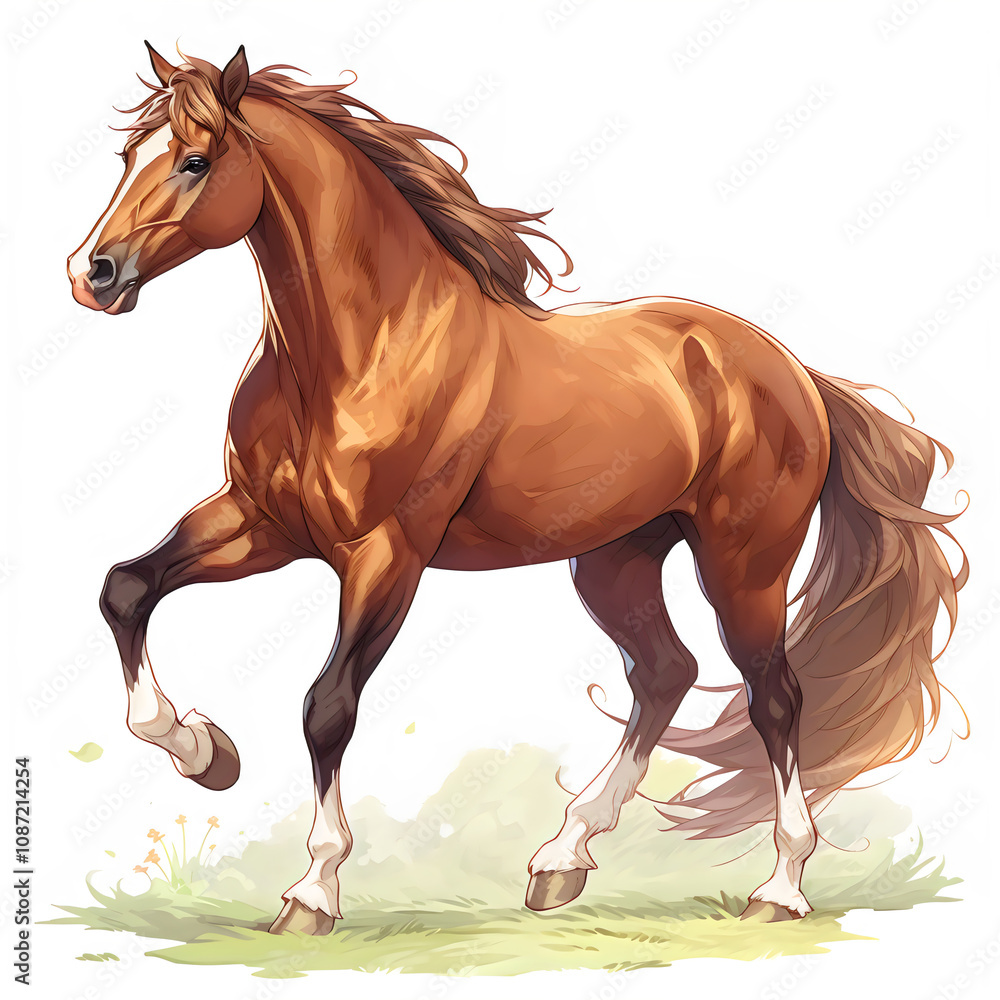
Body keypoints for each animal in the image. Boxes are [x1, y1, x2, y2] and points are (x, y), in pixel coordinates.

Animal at [67, 44, 966, 935]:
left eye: (195, 160)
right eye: (126, 157)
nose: (92, 274)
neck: (359, 354)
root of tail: (796, 374)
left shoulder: (385, 557)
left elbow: (328, 706)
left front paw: (312, 892)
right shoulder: (262, 525)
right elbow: (126, 589)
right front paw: (205, 753)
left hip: (744, 563)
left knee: (773, 696)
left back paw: (779, 888)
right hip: (616, 559)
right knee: (664, 673)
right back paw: (561, 860)